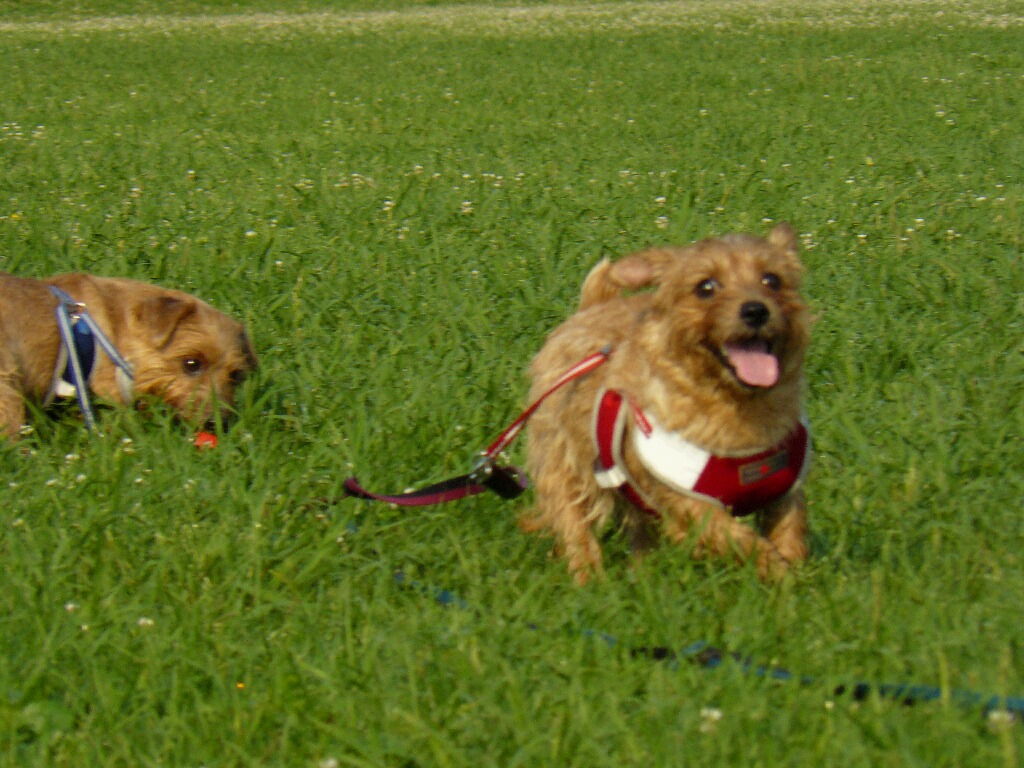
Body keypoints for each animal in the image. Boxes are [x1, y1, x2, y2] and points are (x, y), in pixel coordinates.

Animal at [522, 223, 811, 582]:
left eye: (772, 279)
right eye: (706, 287)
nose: (756, 309)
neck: (740, 409)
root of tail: (591, 309)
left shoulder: (786, 490)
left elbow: (789, 529)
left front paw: (795, 576)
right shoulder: (685, 498)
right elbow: (736, 537)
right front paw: (778, 570)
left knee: (638, 534)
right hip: (562, 460)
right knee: (573, 520)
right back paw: (590, 578)